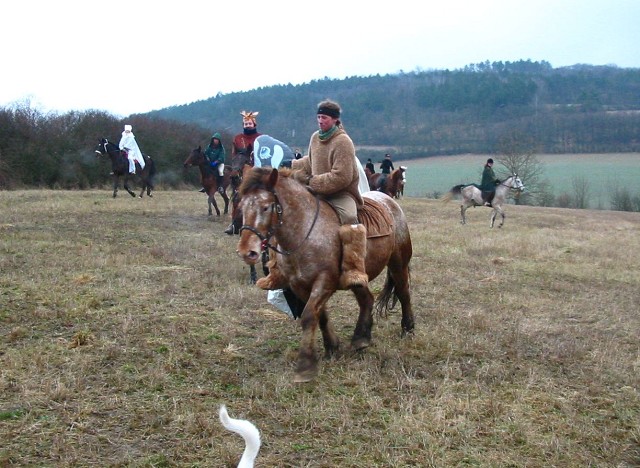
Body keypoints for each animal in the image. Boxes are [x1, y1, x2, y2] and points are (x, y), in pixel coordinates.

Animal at [236, 168, 416, 384]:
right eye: (241, 206)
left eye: (265, 207)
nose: (247, 252)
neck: (305, 232)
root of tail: (390, 201)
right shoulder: (300, 286)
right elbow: (320, 316)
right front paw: (332, 347)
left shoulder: (324, 282)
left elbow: (308, 316)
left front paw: (305, 365)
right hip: (358, 278)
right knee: (367, 299)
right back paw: (361, 338)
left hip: (398, 264)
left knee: (403, 292)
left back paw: (407, 329)